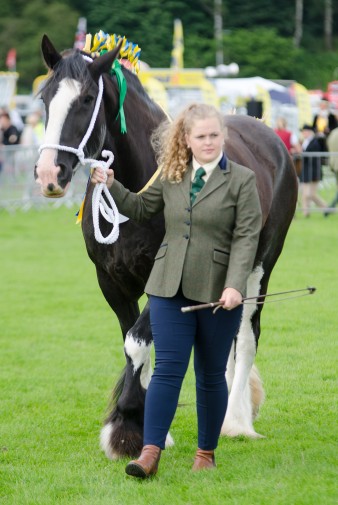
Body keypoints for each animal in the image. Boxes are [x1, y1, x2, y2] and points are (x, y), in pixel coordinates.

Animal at [35, 35, 298, 458]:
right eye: (45, 97)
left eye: (88, 98)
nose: (49, 174)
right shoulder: (112, 283)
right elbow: (131, 344)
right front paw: (139, 424)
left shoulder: (166, 281)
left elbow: (138, 342)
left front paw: (126, 426)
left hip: (260, 266)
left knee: (246, 333)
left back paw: (236, 421)